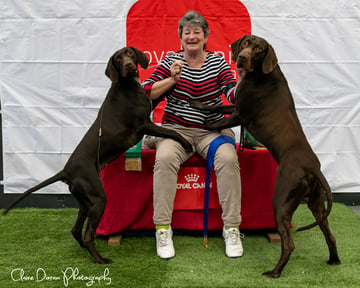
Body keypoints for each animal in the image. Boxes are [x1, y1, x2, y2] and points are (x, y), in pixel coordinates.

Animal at [3, 46, 194, 264]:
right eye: (118, 59)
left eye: (129, 53)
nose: (129, 65)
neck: (126, 84)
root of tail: (66, 171)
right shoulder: (144, 124)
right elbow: (172, 132)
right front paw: (186, 142)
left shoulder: (149, 107)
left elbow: (161, 93)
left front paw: (176, 77)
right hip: (98, 198)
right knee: (87, 235)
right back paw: (100, 259)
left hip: (86, 202)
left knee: (76, 230)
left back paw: (86, 251)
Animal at [191, 35, 340, 278]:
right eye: (245, 44)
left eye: (258, 49)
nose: (242, 58)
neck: (261, 74)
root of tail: (313, 168)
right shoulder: (236, 106)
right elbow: (216, 106)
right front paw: (196, 103)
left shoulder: (240, 113)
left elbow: (217, 120)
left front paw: (201, 125)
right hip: (316, 204)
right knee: (330, 235)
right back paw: (334, 260)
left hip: (281, 201)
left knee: (289, 244)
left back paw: (275, 271)